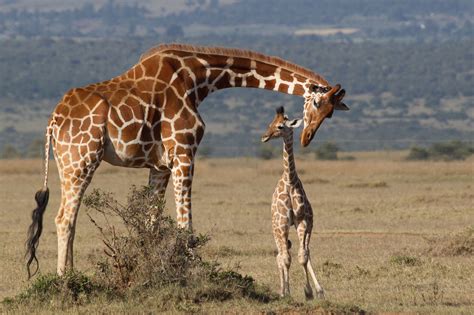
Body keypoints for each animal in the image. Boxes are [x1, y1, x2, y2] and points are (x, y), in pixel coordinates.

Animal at [25, 43, 348, 278]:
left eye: (331, 113)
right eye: (316, 103)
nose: (307, 137)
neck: (198, 79)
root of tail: (53, 121)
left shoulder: (160, 164)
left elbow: (152, 222)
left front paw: (152, 272)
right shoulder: (184, 151)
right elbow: (185, 226)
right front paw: (192, 272)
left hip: (66, 162)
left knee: (68, 217)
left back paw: (72, 274)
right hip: (81, 159)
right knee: (64, 218)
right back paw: (65, 280)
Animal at [262, 107, 324, 302]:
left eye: (280, 126)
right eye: (270, 123)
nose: (264, 137)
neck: (290, 181)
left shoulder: (303, 221)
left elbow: (302, 256)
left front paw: (310, 291)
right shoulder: (282, 224)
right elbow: (286, 259)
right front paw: (287, 292)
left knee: (303, 252)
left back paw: (317, 289)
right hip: (276, 228)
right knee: (280, 255)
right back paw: (282, 290)